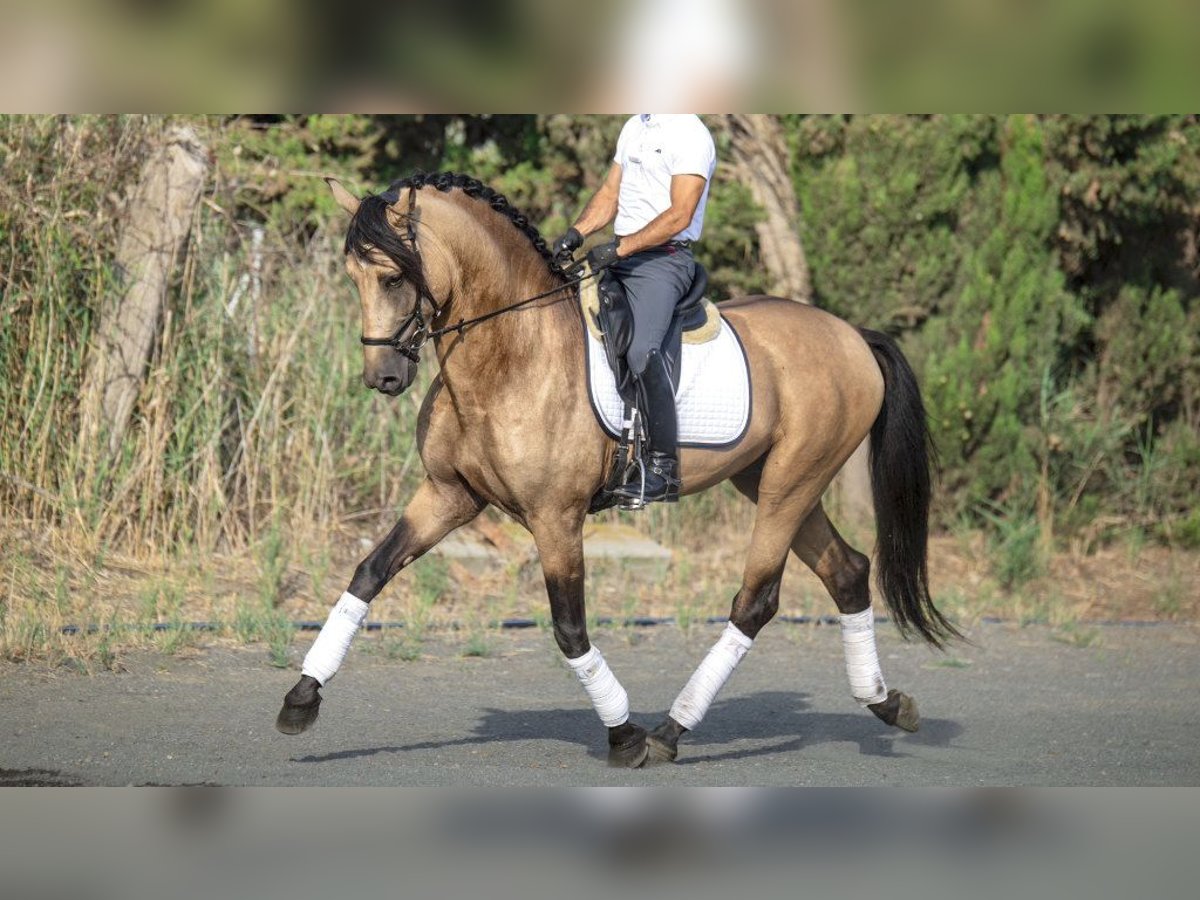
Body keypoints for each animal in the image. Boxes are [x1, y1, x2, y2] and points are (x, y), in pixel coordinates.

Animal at [272, 170, 955, 768]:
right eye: (353, 276)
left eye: (392, 277)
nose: (383, 378)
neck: (510, 357)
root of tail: (852, 335)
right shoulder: (448, 495)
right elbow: (369, 573)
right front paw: (301, 699)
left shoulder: (555, 518)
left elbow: (570, 629)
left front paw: (623, 736)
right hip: (772, 480)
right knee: (847, 571)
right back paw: (886, 703)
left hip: (793, 481)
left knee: (755, 601)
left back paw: (670, 732)